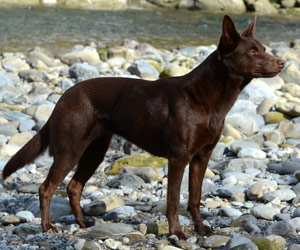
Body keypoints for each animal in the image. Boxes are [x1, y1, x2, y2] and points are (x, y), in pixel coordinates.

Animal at [1, 15, 284, 238]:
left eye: (264, 48)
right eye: (252, 52)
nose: (281, 62)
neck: (207, 97)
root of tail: (63, 97)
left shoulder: (201, 157)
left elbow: (194, 198)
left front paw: (201, 230)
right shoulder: (179, 157)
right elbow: (173, 200)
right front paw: (177, 233)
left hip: (95, 151)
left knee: (73, 187)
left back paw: (82, 223)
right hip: (70, 150)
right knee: (46, 188)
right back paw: (47, 227)